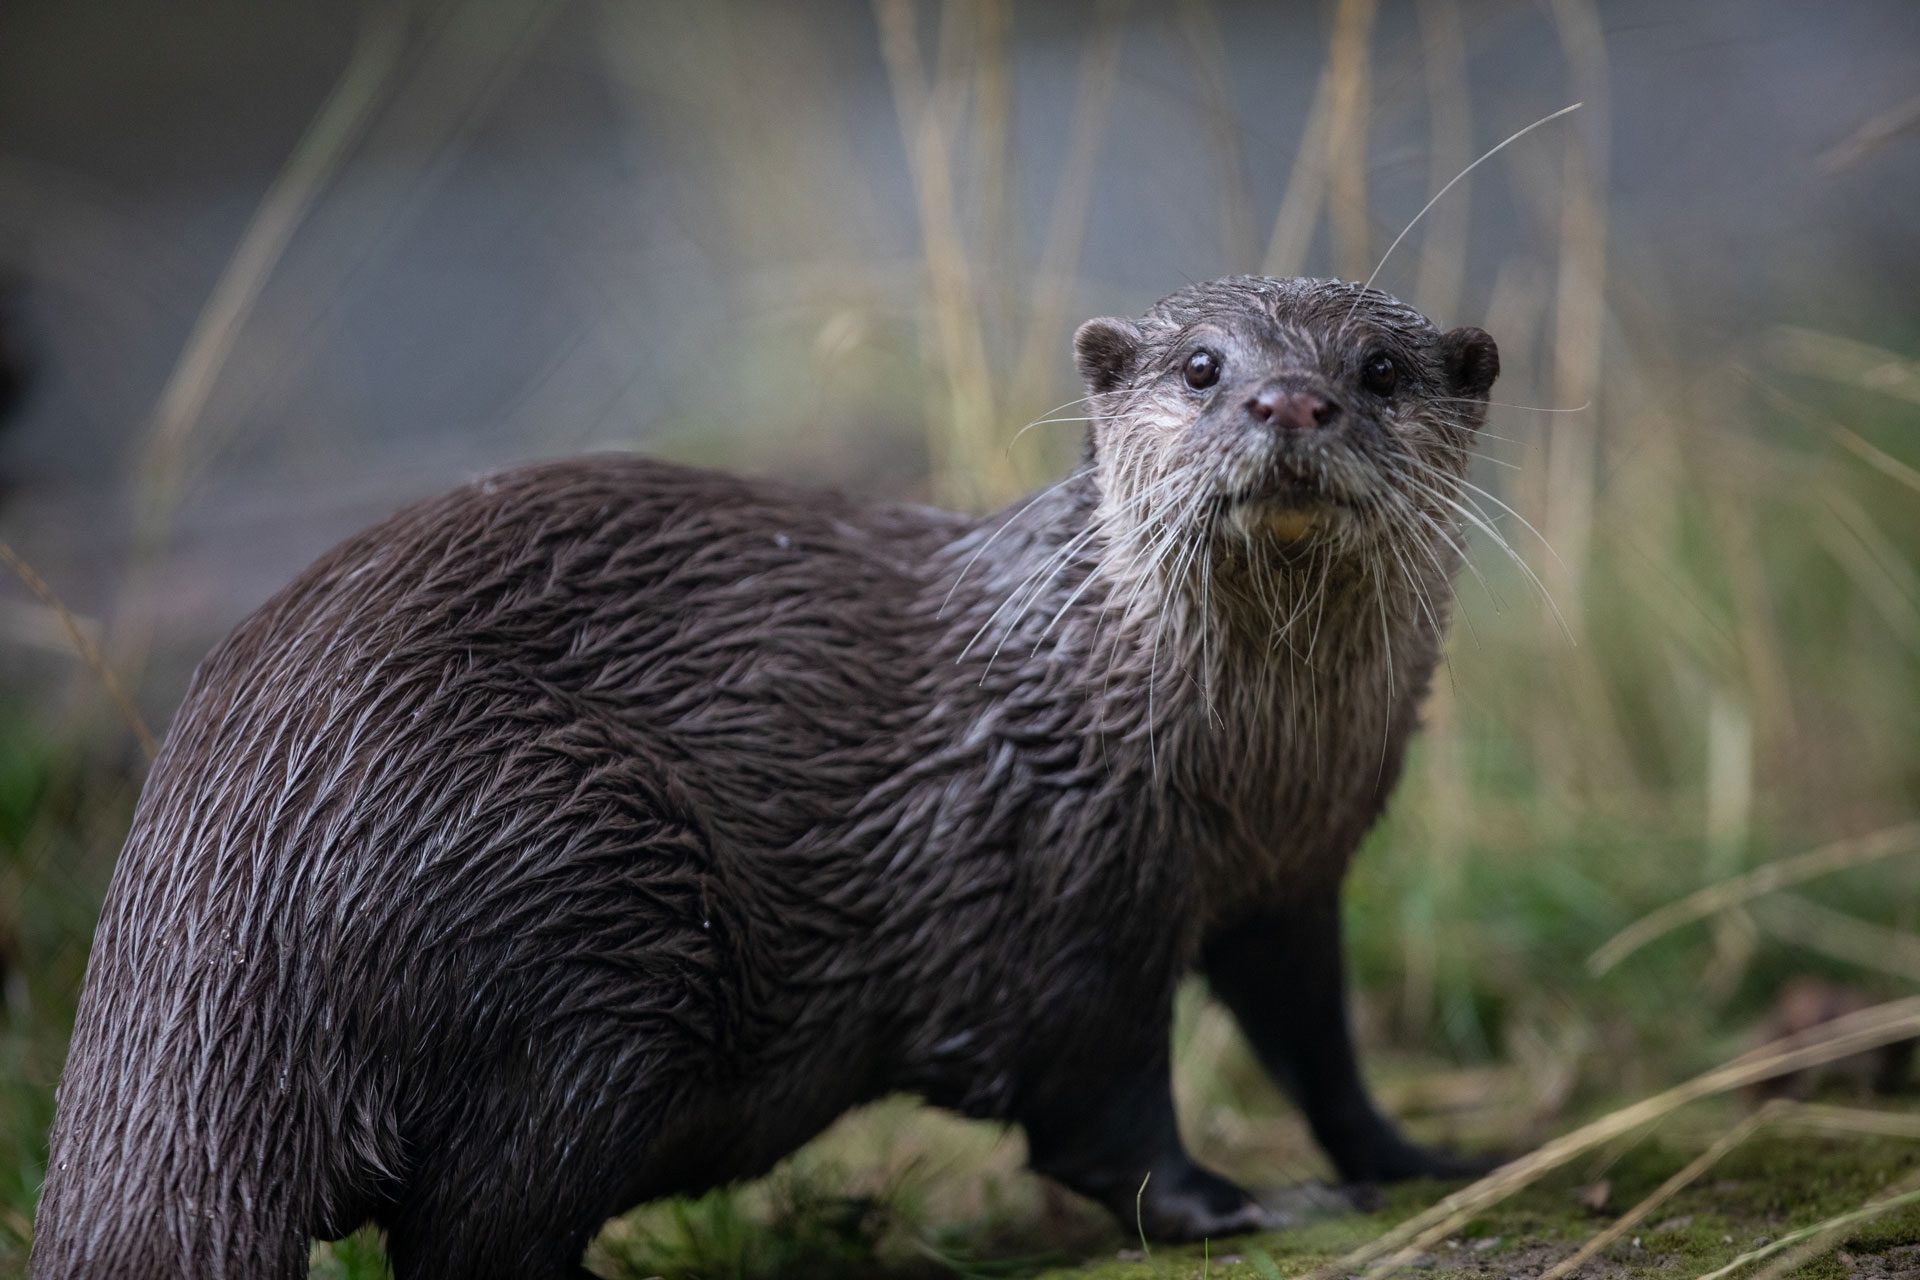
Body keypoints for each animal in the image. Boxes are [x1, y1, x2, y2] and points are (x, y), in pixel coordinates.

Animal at [30, 276, 1497, 1274]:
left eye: (1379, 367)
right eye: (1202, 365)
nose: (1287, 400)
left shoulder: (1294, 875)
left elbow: (1316, 1043)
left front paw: (1414, 1156)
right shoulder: (1061, 886)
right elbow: (1103, 1114)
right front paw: (1238, 1201)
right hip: (582, 890)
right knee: (478, 1229)